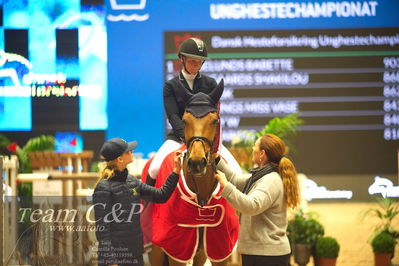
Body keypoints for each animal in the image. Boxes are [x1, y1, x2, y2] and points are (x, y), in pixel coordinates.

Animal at [142, 79, 239, 266]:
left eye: (214, 120)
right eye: (185, 120)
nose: (196, 163)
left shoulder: (220, 248)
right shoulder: (176, 248)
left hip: (200, 252)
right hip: (156, 249)